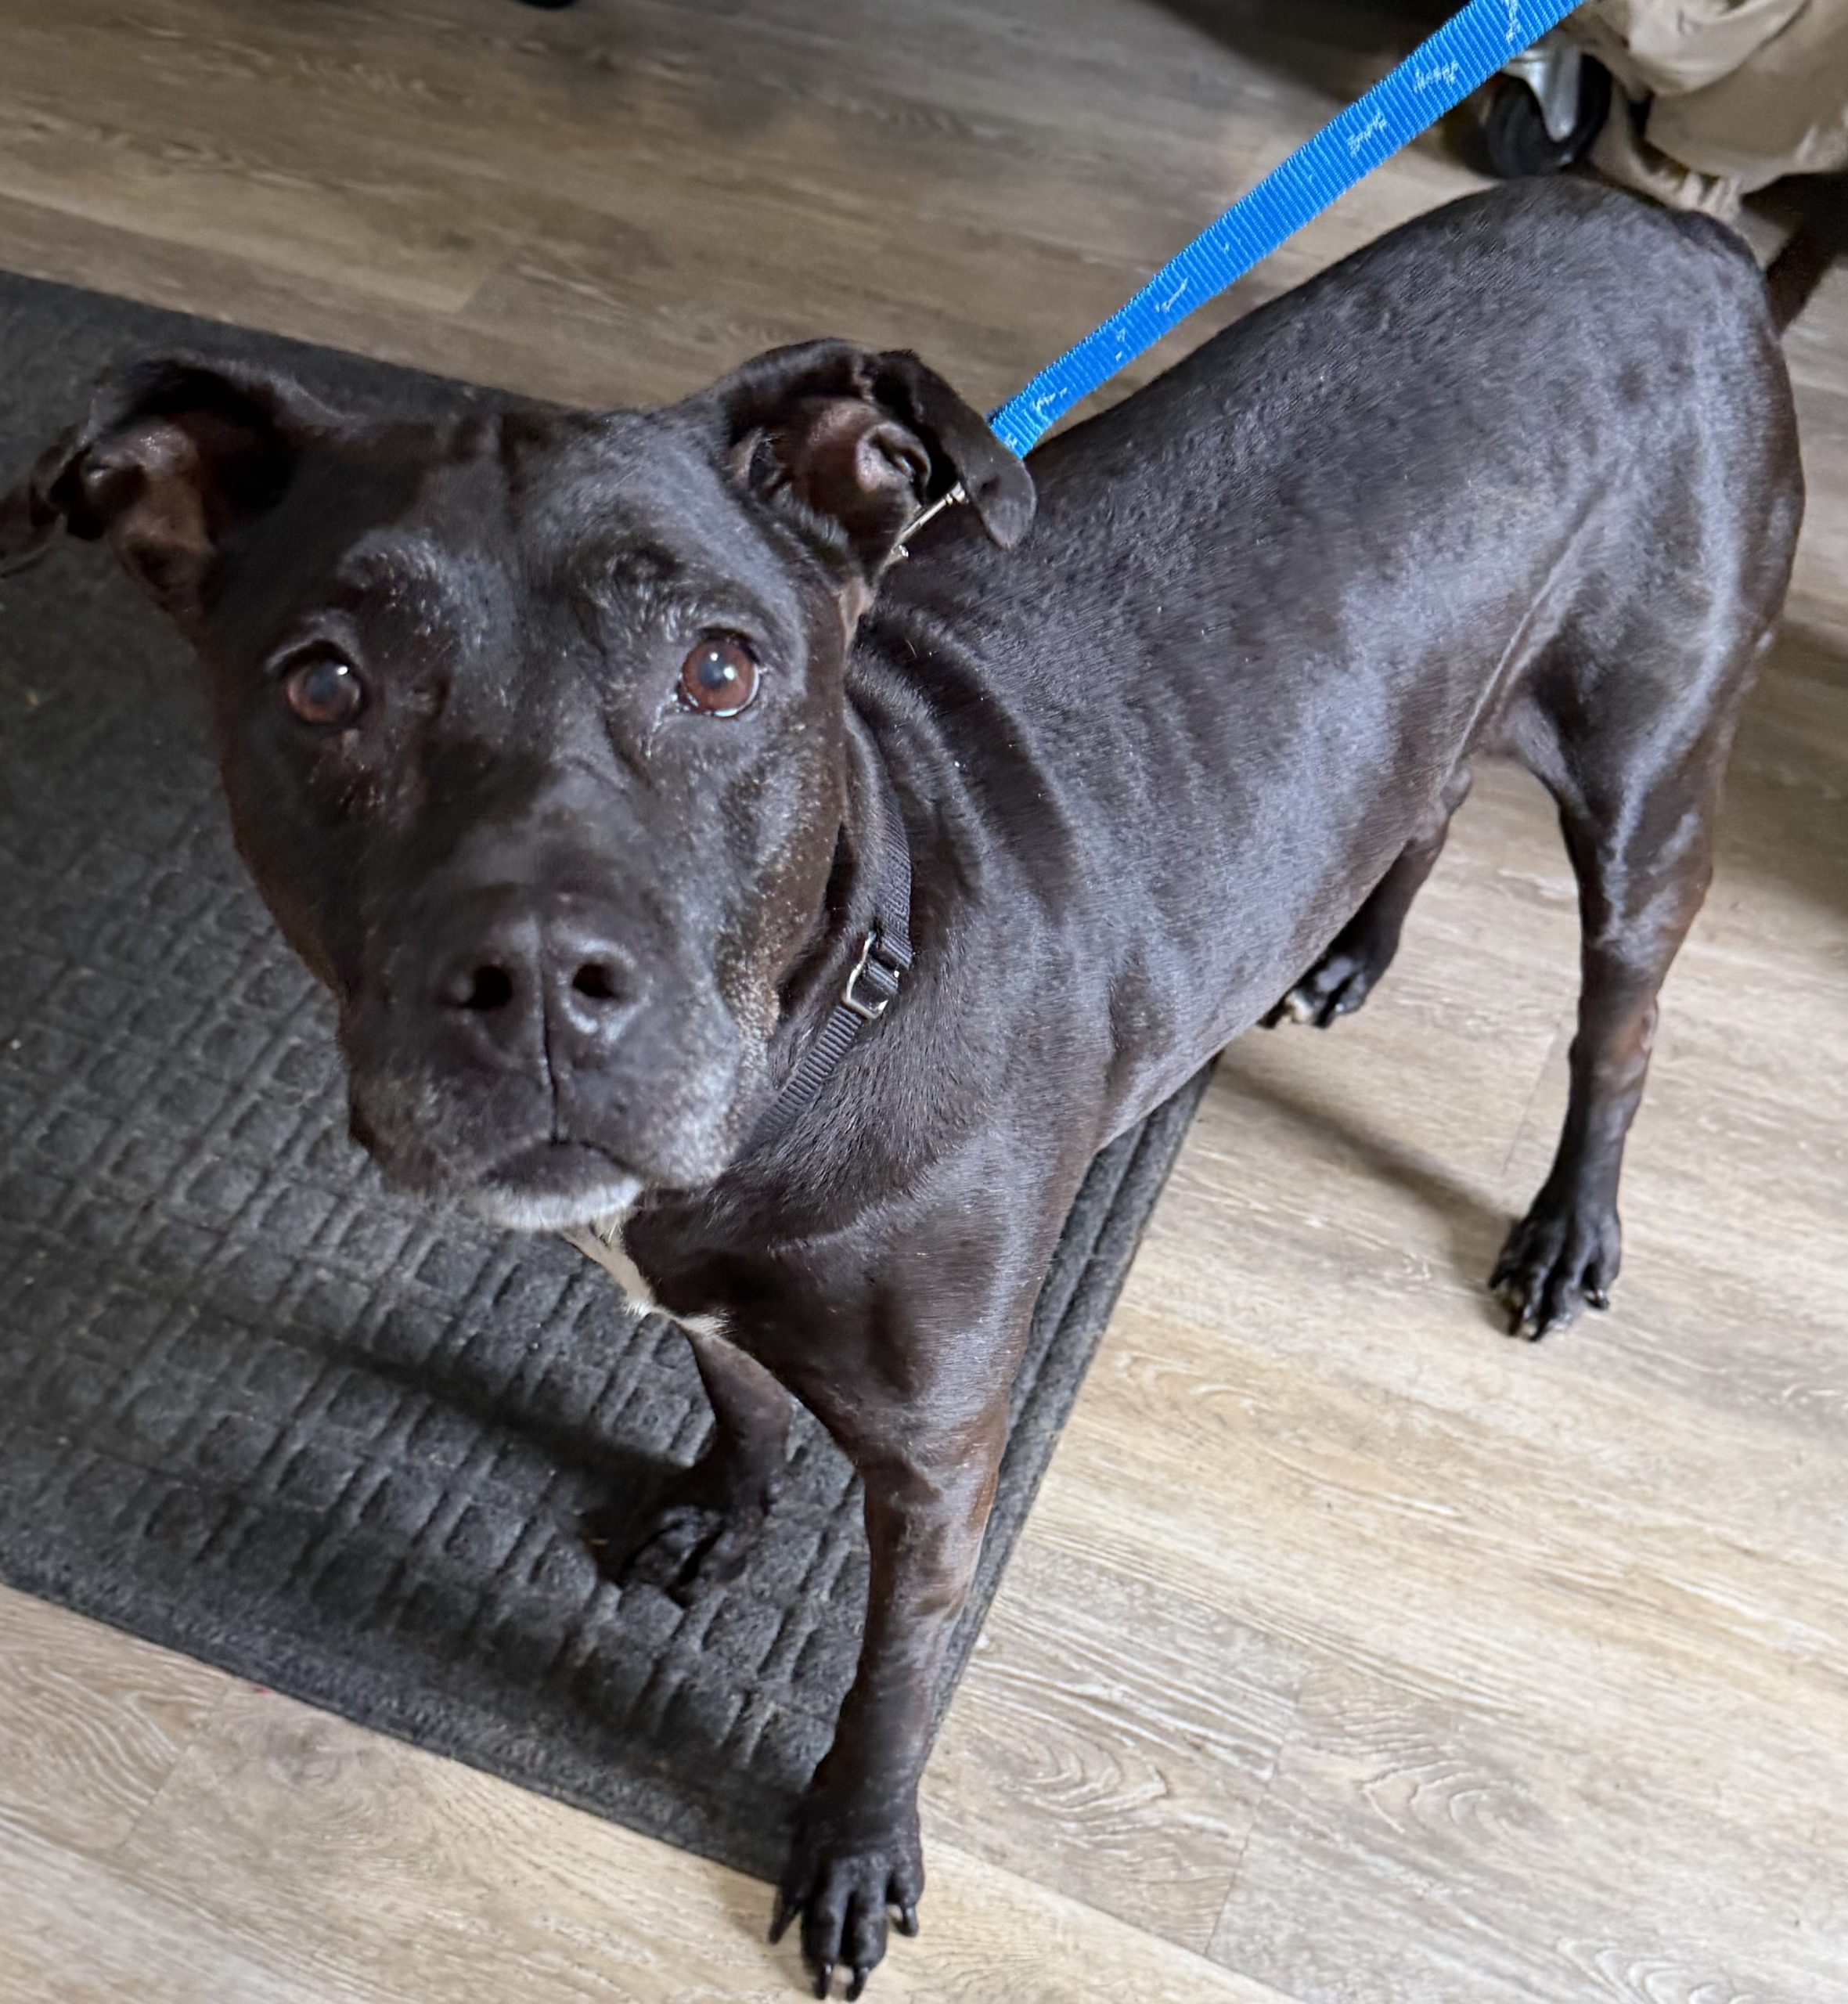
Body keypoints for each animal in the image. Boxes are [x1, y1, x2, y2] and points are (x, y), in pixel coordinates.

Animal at [0, 177, 1803, 1998]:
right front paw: (719, 1513)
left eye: (721, 671)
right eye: (323, 684)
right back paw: (1346, 953)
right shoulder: (703, 1302)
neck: (814, 1036)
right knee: (1421, 794)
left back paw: (1566, 1223)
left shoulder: (942, 1463)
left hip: (1651, 778)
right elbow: (736, 1395)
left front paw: (857, 1848)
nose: (535, 984)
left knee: (1617, 1026)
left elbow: (891, 1682)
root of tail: (1672, 227)